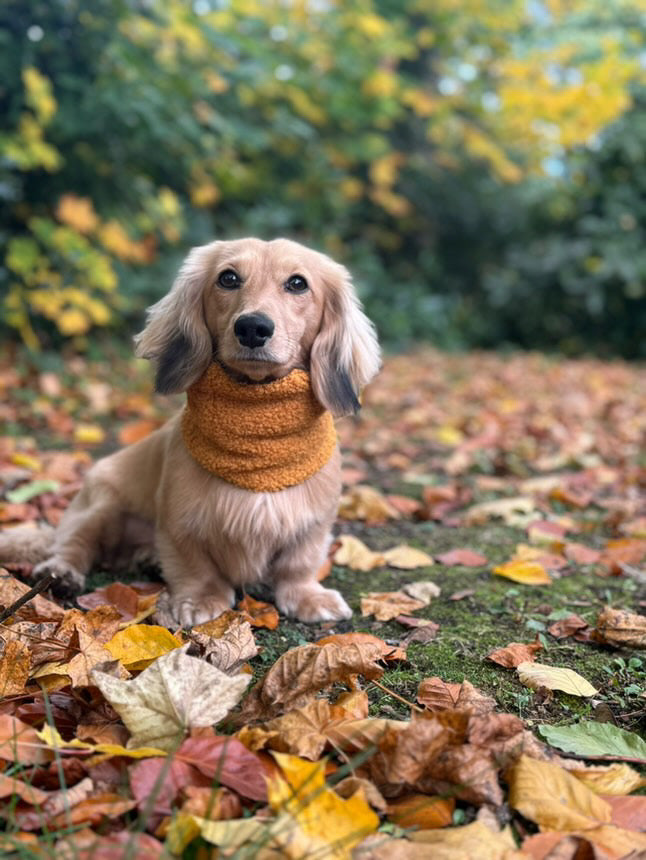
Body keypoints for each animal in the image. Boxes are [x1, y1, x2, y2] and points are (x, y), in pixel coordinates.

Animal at [0, 239, 382, 628]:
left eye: (298, 283)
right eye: (228, 278)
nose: (252, 327)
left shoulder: (312, 524)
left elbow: (298, 564)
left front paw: (307, 597)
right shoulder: (182, 522)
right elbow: (195, 565)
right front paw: (199, 599)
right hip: (101, 504)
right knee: (73, 545)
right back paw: (62, 574)